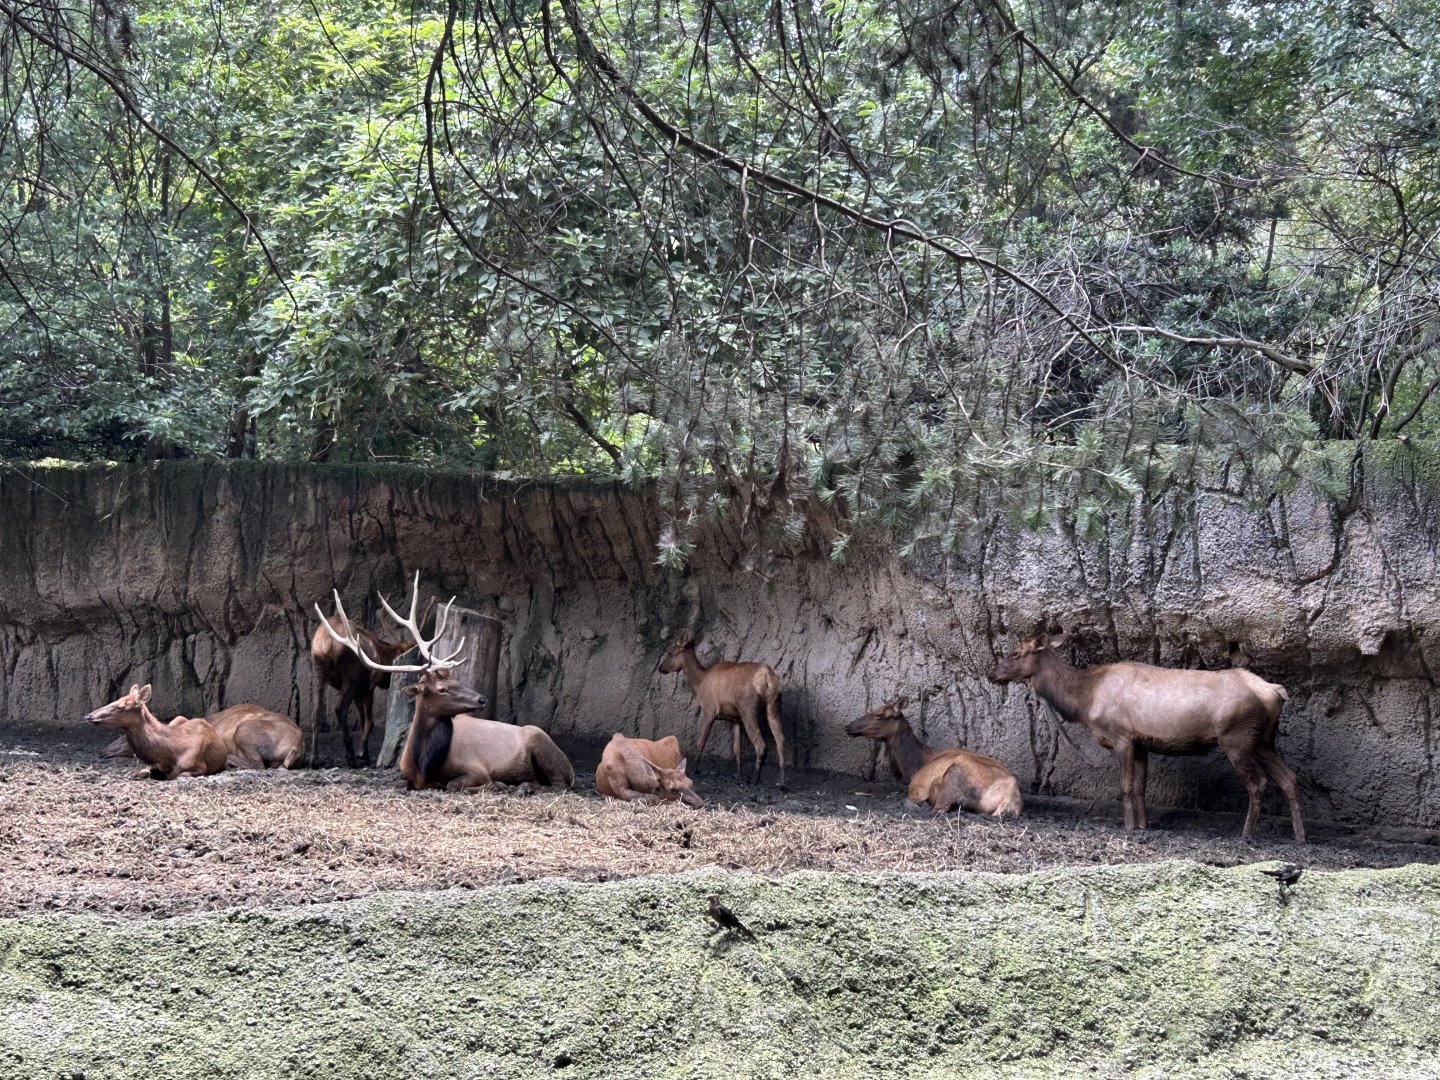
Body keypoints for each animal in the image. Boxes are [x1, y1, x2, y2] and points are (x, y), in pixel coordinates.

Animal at [85, 684, 229, 779]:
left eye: (121, 708)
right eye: (116, 700)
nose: (88, 716)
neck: (169, 755)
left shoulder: (200, 766)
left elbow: (182, 774)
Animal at [308, 597, 413, 768]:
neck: (381, 654)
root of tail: (326, 643)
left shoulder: (359, 690)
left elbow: (362, 720)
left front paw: (361, 752)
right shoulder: (368, 685)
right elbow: (369, 721)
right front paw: (363, 755)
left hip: (318, 672)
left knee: (316, 712)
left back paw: (314, 758)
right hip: (349, 678)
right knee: (339, 709)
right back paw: (350, 757)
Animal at [657, 631, 785, 788]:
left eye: (670, 652)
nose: (660, 668)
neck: (699, 683)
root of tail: (768, 678)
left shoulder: (709, 710)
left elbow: (701, 742)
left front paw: (694, 770)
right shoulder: (735, 719)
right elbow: (737, 749)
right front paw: (738, 774)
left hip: (748, 709)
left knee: (761, 744)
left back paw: (754, 780)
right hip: (774, 705)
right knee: (781, 741)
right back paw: (782, 782)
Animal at [846, 697, 1023, 817]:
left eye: (879, 715)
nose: (849, 726)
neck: (913, 766)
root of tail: (1009, 802)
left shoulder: (918, 788)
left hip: (955, 773)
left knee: (939, 808)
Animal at [989, 633, 1306, 843]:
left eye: (1015, 653)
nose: (992, 674)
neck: (1086, 699)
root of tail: (1276, 692)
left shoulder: (1122, 737)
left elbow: (1126, 786)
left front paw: (1129, 826)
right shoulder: (1142, 743)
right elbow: (1141, 787)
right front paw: (1144, 826)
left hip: (1237, 736)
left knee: (1258, 782)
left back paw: (1246, 834)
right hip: (1263, 740)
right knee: (1289, 778)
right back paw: (1300, 836)